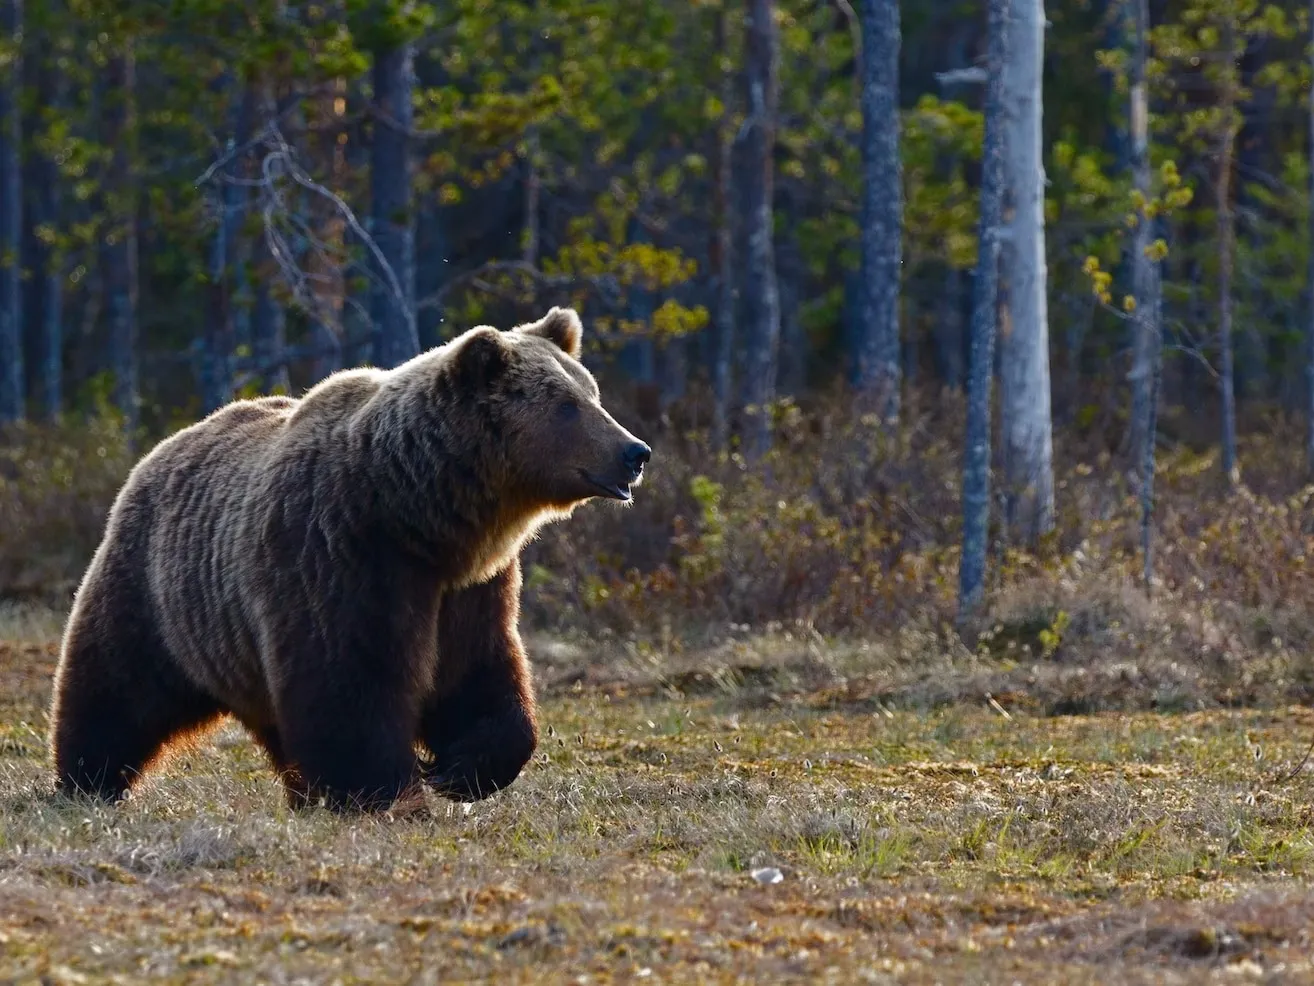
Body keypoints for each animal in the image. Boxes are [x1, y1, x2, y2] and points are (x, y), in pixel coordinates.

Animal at [48, 308, 649, 809]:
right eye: (566, 406)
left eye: (592, 393)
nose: (635, 451)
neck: (419, 516)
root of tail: (163, 447)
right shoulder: (338, 554)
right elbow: (349, 681)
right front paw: (386, 789)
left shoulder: (470, 586)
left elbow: (478, 672)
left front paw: (459, 769)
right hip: (159, 592)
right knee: (115, 686)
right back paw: (87, 780)